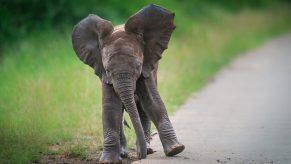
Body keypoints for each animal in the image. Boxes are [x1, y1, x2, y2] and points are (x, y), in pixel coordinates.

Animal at [71, 4, 185, 164]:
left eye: (138, 66)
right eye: (108, 70)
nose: (140, 157)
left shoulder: (147, 67)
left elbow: (152, 102)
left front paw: (176, 150)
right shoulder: (104, 74)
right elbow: (111, 107)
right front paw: (108, 160)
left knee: (142, 108)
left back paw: (147, 149)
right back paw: (124, 153)